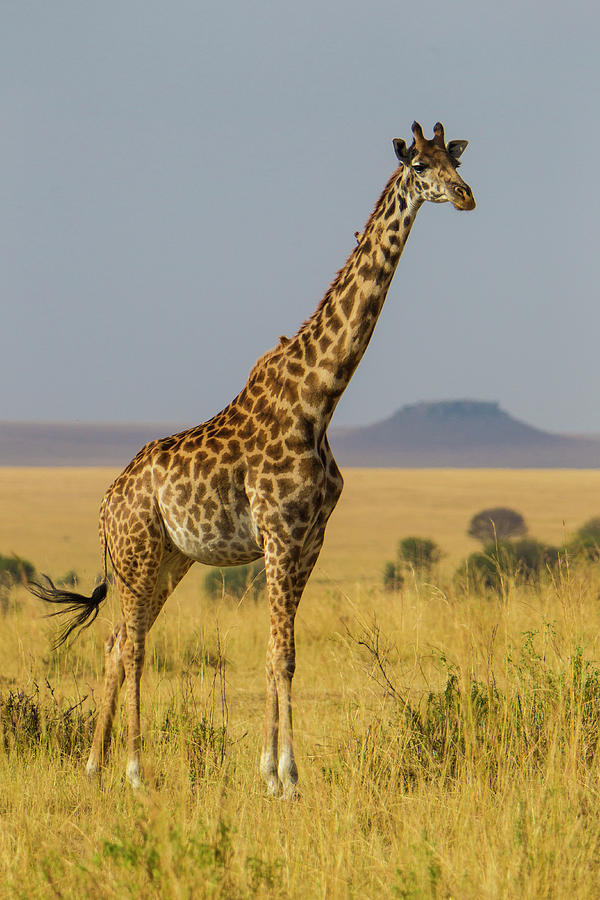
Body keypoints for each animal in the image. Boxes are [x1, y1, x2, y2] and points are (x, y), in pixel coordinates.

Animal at [30, 118, 476, 796]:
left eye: (454, 160)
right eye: (421, 166)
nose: (467, 195)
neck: (320, 400)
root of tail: (105, 504)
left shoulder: (308, 541)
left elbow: (274, 656)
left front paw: (268, 772)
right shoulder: (279, 534)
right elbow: (282, 655)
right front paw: (289, 777)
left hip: (169, 561)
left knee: (114, 641)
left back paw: (95, 768)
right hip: (137, 555)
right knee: (131, 645)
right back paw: (134, 770)